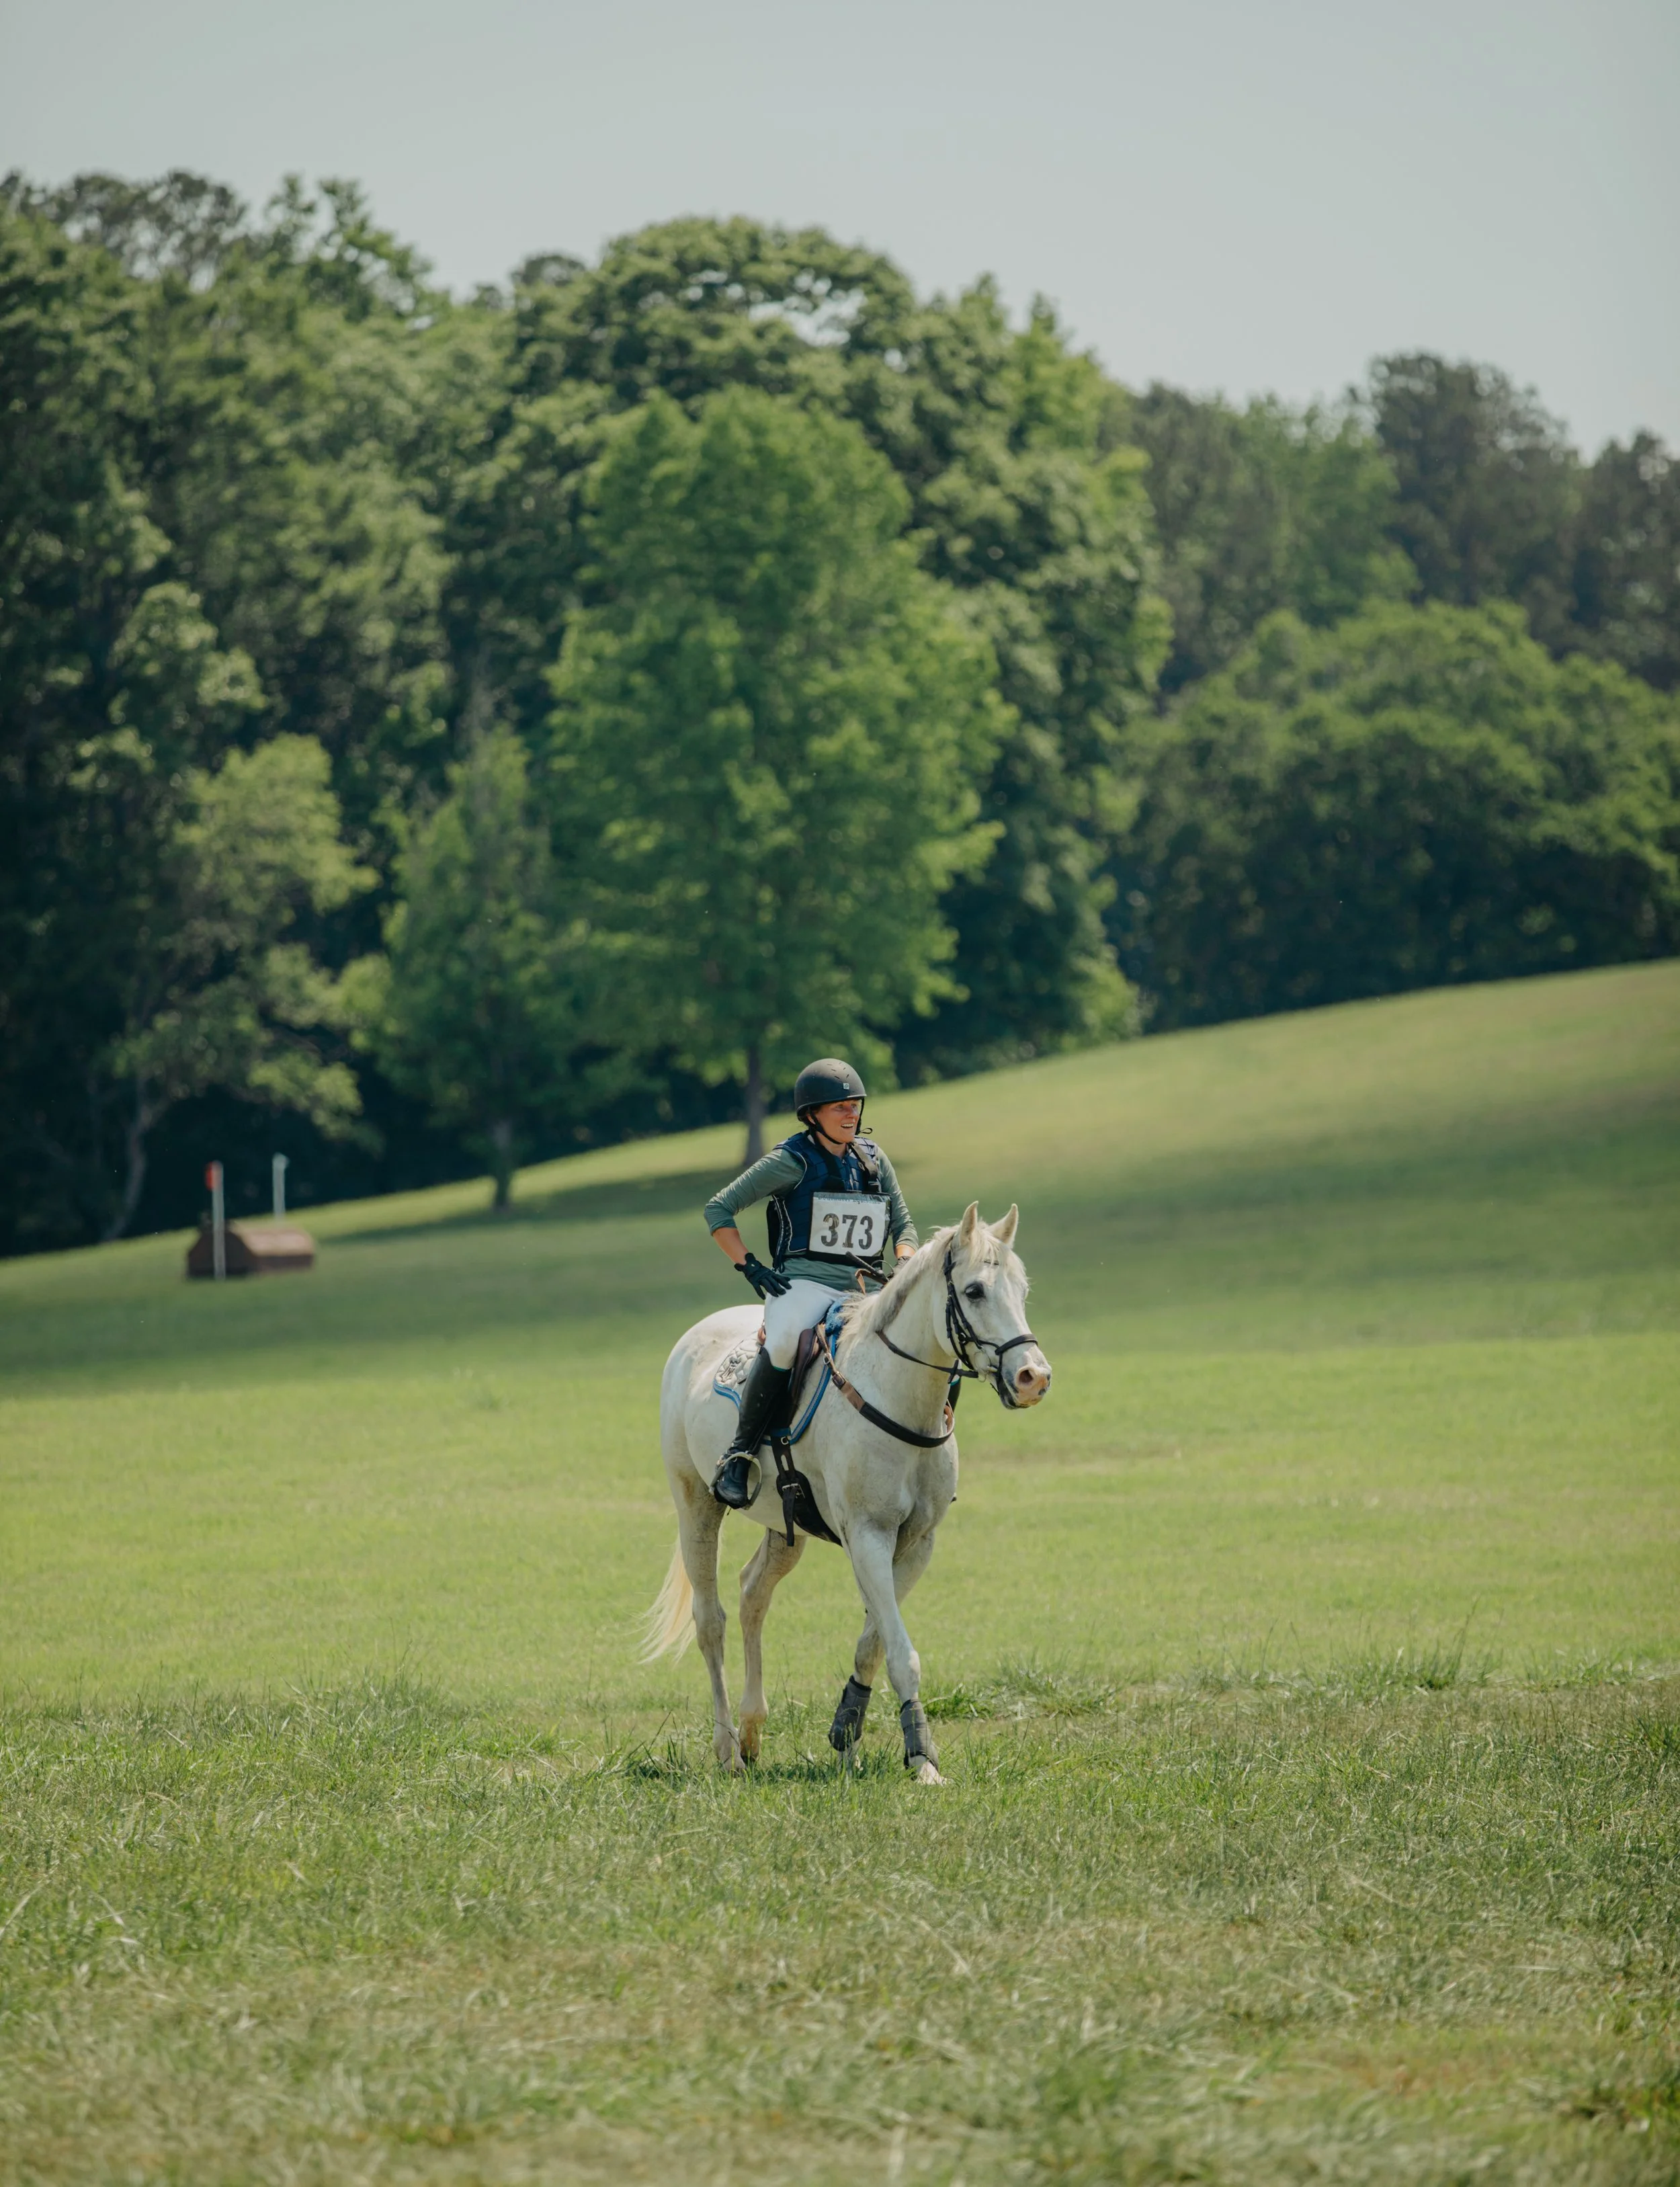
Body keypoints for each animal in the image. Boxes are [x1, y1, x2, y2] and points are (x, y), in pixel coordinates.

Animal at [642, 1202, 1051, 1784]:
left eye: (1022, 1288)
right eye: (974, 1291)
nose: (1033, 1377)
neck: (900, 1395)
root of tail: (694, 1336)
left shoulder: (915, 1544)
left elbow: (872, 1645)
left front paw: (847, 1732)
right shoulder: (869, 1535)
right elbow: (901, 1653)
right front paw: (923, 1760)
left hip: (785, 1527)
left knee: (752, 1595)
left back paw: (752, 1732)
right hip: (696, 1503)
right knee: (710, 1620)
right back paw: (727, 1750)